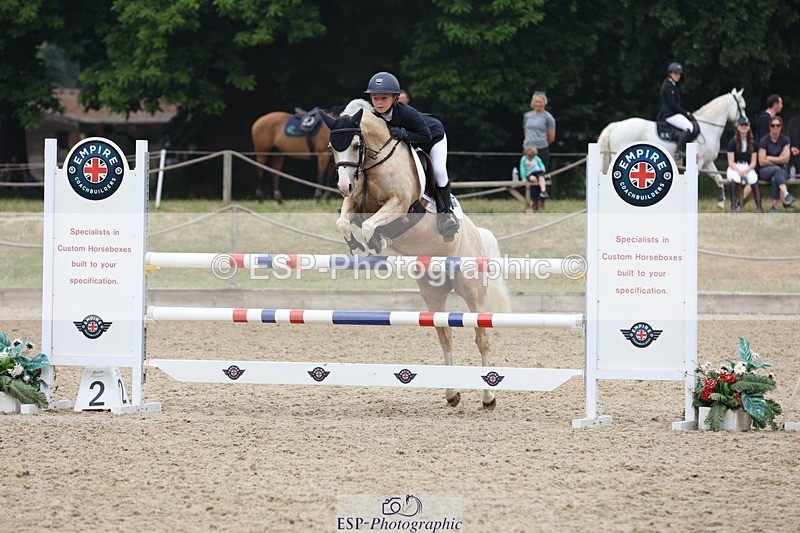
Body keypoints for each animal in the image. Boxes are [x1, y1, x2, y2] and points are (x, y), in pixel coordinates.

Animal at [319, 99, 513, 410]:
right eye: (331, 146)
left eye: (356, 143)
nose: (343, 186)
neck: (373, 164)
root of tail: (476, 235)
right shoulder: (356, 202)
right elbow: (344, 222)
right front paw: (357, 245)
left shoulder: (400, 205)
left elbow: (373, 224)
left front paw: (376, 241)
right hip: (433, 293)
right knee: (445, 335)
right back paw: (452, 393)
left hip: (473, 292)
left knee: (481, 337)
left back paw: (488, 398)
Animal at [597, 88, 747, 209]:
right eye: (742, 107)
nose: (746, 123)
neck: (708, 128)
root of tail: (615, 126)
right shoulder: (699, 163)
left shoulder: (708, 162)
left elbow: (718, 178)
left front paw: (721, 202)